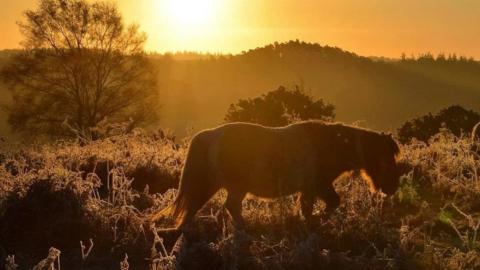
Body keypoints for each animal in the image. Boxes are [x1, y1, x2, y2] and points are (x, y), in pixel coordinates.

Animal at [151, 121, 402, 229]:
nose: (392, 188)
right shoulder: (318, 185)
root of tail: (210, 135)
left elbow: (310, 207)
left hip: (216, 185)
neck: (330, 144)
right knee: (227, 206)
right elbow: (332, 203)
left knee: (198, 207)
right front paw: (317, 220)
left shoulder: (310, 189)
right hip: (231, 186)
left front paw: (309, 222)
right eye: (386, 160)